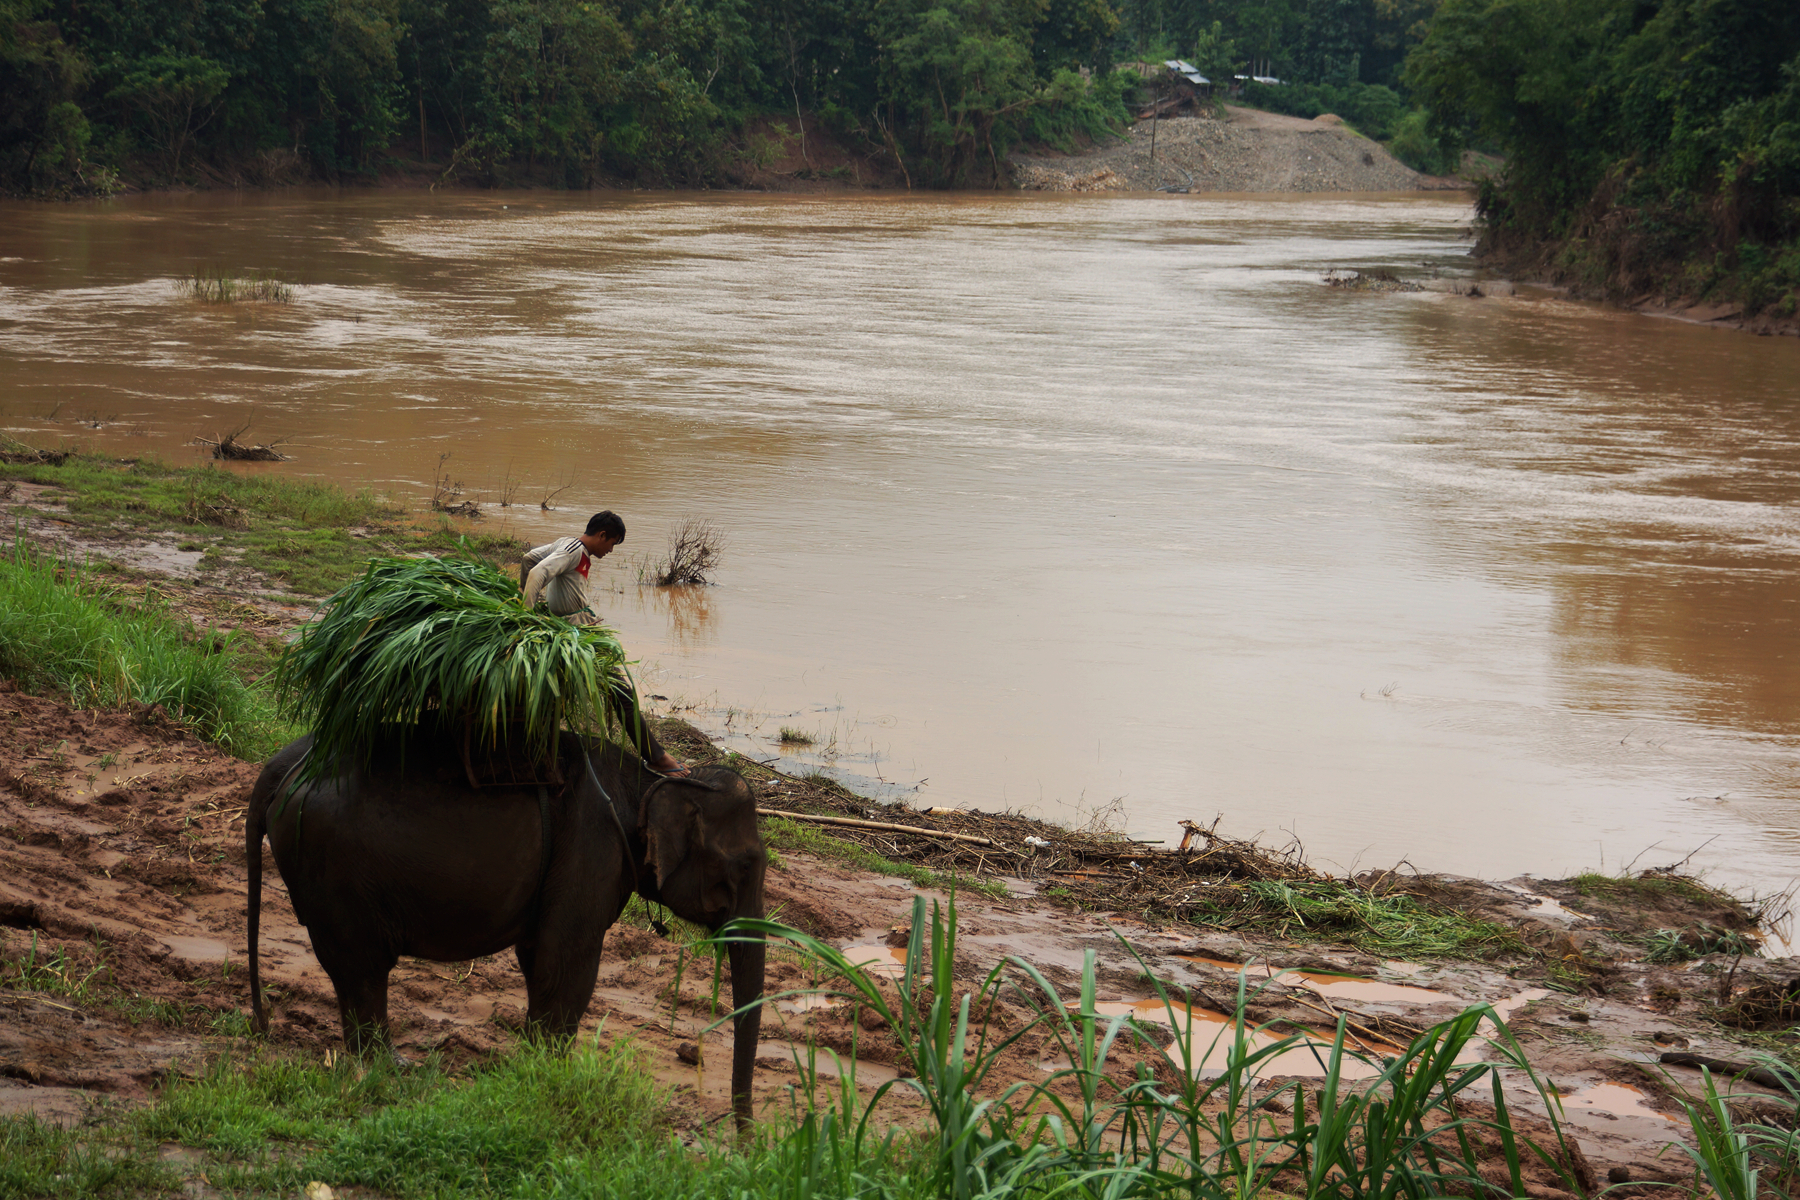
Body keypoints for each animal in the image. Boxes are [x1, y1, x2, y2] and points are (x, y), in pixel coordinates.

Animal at [244, 726, 766, 1129]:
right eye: (745, 866)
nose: (745, 1138)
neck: (648, 785)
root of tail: (281, 765)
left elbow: (538, 961)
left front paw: (532, 1066)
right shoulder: (593, 851)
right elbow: (565, 964)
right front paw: (550, 1075)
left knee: (352, 971)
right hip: (334, 867)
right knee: (364, 968)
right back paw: (391, 1067)